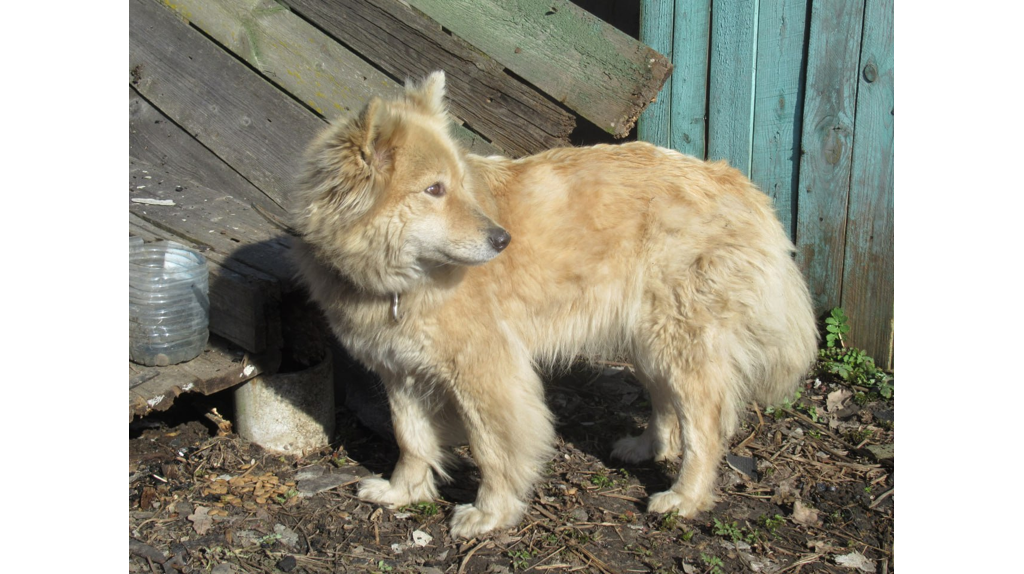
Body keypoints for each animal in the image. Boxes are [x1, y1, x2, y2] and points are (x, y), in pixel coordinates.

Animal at [288, 71, 815, 536]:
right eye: (434, 189)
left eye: (458, 185)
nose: (503, 240)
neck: (399, 279)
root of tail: (736, 182)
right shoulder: (400, 372)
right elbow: (411, 438)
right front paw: (404, 492)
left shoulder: (487, 373)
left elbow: (494, 448)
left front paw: (491, 513)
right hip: (647, 341)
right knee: (667, 404)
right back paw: (648, 448)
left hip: (678, 339)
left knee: (704, 424)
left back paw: (686, 496)